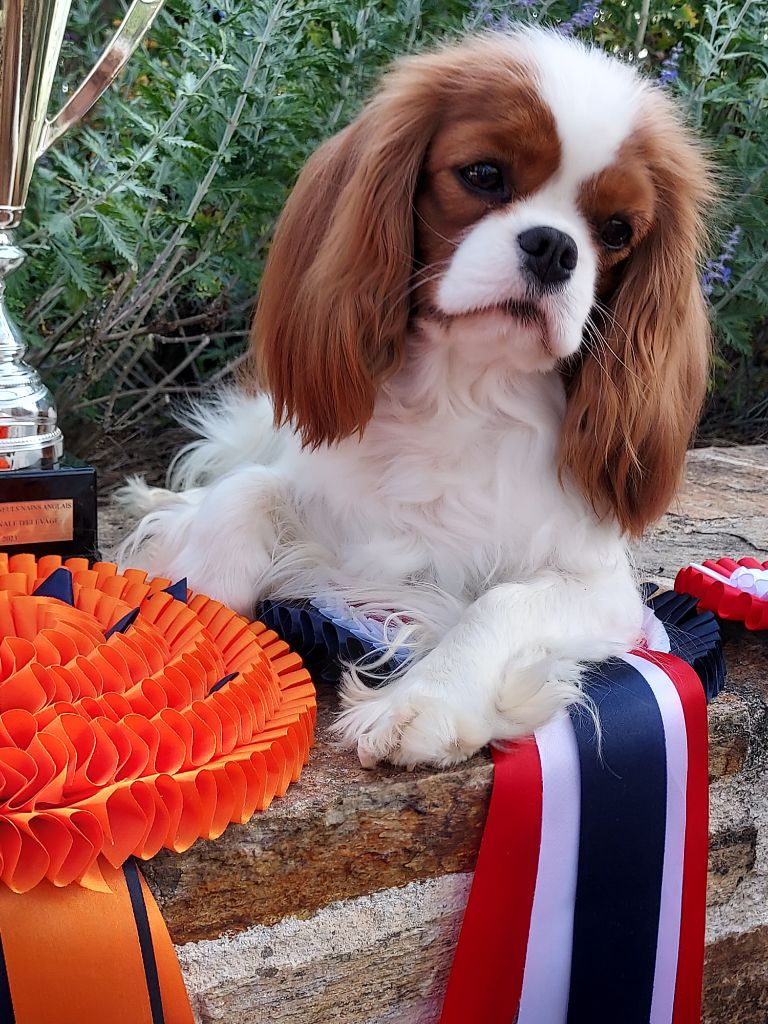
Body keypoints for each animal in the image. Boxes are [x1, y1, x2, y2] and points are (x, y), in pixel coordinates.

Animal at [117, 28, 712, 770]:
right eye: (484, 175)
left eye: (616, 231)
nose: (554, 248)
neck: (464, 388)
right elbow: (241, 498)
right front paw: (199, 628)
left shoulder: (605, 592)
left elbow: (503, 603)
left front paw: (427, 700)